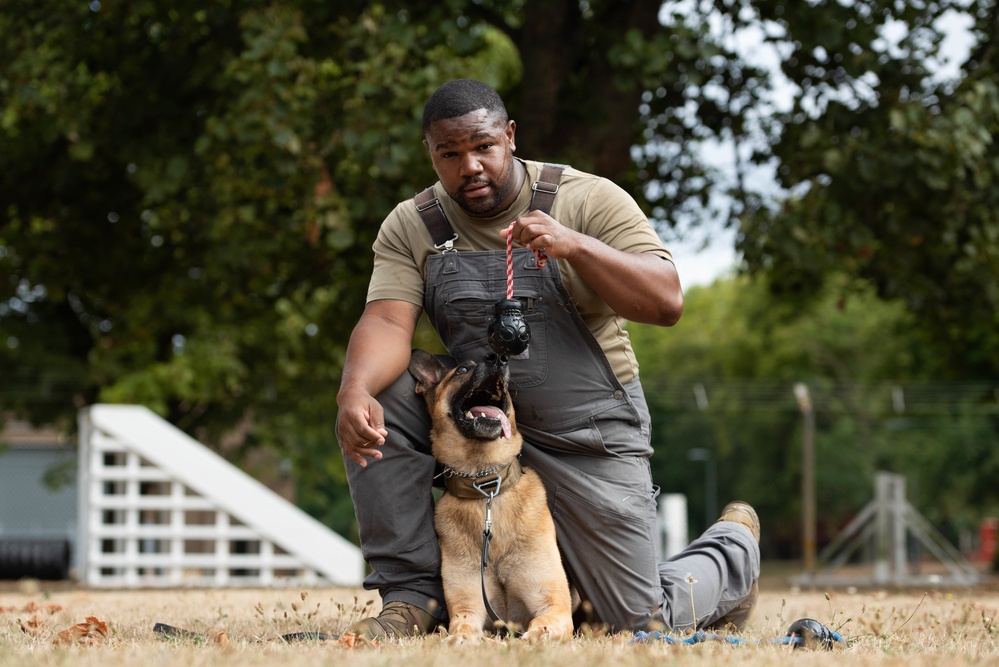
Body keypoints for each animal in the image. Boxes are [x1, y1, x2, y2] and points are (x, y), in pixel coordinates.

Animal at [408, 348, 576, 644]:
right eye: (462, 369)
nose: (498, 358)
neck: (486, 487)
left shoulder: (554, 606)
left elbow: (542, 624)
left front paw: (532, 638)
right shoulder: (469, 607)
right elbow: (462, 627)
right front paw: (463, 640)